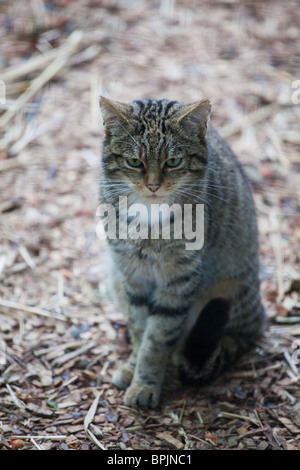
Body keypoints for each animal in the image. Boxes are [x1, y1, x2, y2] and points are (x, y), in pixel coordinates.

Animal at [98, 96, 264, 408]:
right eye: (134, 161)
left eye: (173, 161)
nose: (153, 185)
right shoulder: (132, 275)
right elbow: (140, 328)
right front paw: (133, 366)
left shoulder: (179, 279)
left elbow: (156, 339)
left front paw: (145, 383)